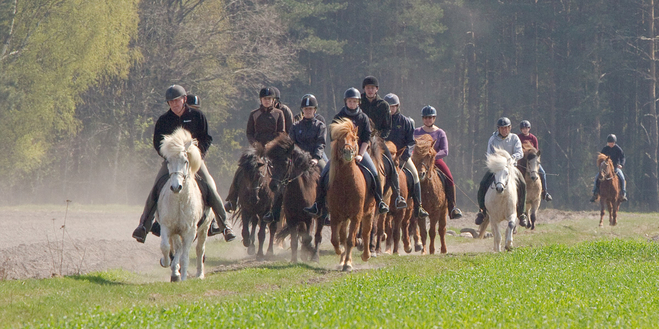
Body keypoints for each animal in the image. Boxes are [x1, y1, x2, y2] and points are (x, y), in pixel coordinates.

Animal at [157, 127, 211, 280]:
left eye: (185, 161)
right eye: (168, 161)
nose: (176, 187)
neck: (180, 201)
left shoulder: (190, 231)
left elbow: (185, 257)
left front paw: (184, 278)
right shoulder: (167, 226)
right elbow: (165, 247)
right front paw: (166, 262)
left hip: (204, 229)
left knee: (199, 249)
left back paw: (199, 274)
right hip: (177, 231)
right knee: (177, 247)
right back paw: (175, 272)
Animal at [266, 133, 322, 262]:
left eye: (286, 162)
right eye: (272, 163)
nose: (273, 185)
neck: (299, 193)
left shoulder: (309, 218)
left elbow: (308, 238)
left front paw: (309, 252)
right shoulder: (291, 219)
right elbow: (294, 241)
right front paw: (294, 260)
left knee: (317, 236)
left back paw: (315, 256)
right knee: (273, 227)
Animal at [326, 118, 376, 272]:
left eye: (354, 139)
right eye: (340, 139)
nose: (348, 152)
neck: (346, 183)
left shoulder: (356, 215)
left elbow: (350, 240)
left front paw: (348, 264)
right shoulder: (336, 215)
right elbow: (336, 239)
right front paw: (342, 255)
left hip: (369, 211)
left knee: (366, 232)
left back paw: (366, 255)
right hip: (344, 217)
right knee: (343, 235)